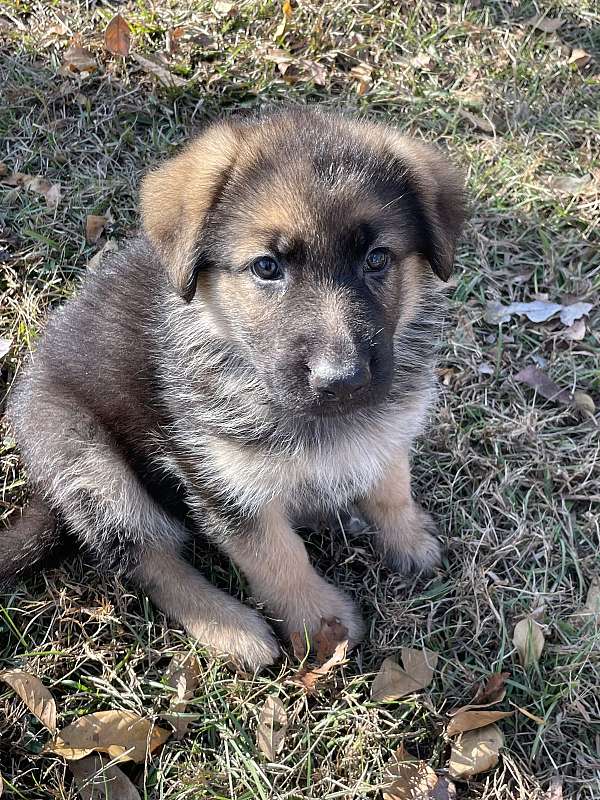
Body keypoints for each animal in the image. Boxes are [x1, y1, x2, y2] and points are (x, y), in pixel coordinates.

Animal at [1, 108, 464, 668]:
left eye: (377, 259)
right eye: (266, 267)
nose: (344, 381)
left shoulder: (389, 425)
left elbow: (392, 485)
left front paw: (407, 538)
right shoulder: (226, 482)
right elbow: (278, 556)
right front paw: (319, 623)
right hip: (86, 459)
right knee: (148, 558)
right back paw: (232, 627)